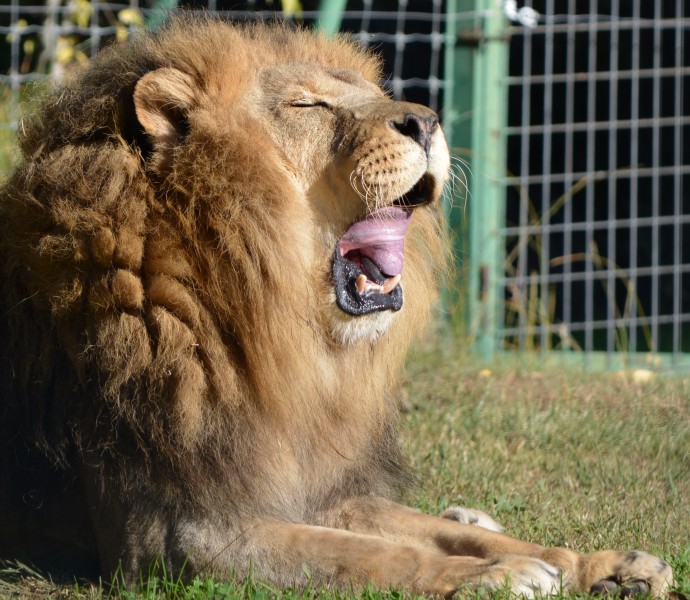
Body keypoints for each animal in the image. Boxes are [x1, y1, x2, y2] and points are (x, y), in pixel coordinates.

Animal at [0, 16, 672, 596]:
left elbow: (428, 531)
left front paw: (601, 565)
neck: (271, 328)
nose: (427, 122)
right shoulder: (175, 536)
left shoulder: (326, 491)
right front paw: (497, 577)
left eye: (375, 96)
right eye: (309, 106)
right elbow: (367, 555)